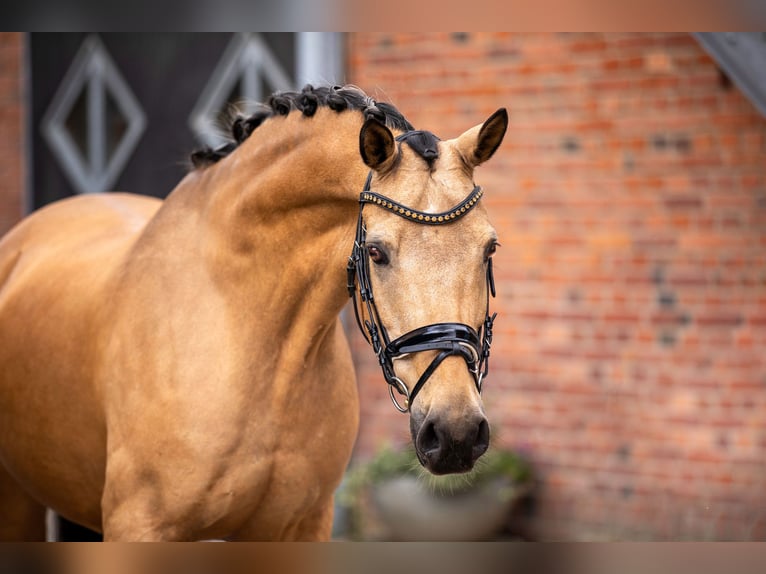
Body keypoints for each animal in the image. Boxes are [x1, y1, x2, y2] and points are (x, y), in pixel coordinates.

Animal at [1, 83, 510, 544]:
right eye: (377, 252)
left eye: (489, 248)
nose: (456, 432)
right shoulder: (141, 524)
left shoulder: (300, 526)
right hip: (19, 500)